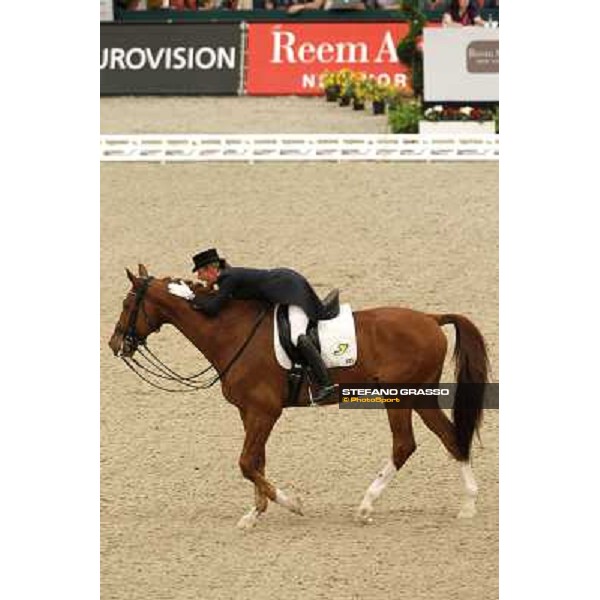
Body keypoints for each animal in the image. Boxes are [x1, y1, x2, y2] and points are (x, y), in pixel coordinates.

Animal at [109, 264, 488, 528]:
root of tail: (431, 318)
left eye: (127, 303)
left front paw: (291, 504)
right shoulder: (250, 412)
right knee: (450, 437)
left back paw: (366, 506)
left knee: (404, 445)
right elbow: (256, 461)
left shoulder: (264, 411)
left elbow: (246, 462)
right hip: (420, 396)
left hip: (398, 396)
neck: (231, 331)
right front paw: (254, 514)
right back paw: (468, 505)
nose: (115, 344)